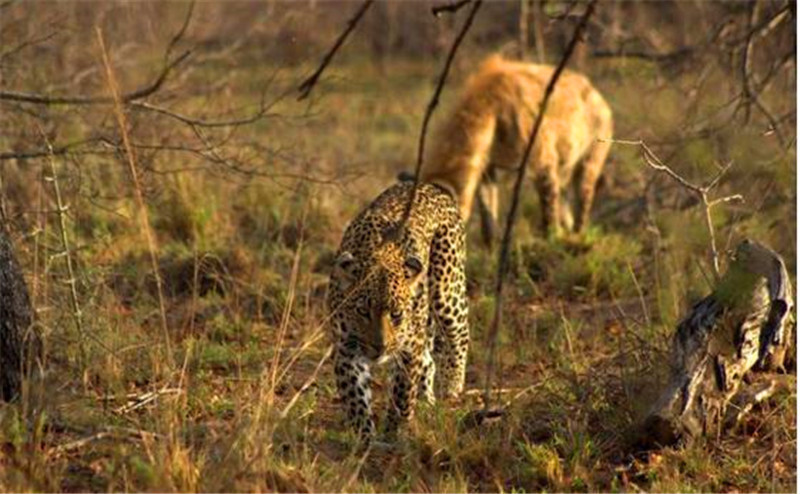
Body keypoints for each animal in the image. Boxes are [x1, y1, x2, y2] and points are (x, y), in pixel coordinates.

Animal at [326, 180, 468, 440]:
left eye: (396, 314)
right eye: (362, 311)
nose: (379, 348)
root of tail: (431, 185)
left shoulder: (409, 347)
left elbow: (402, 393)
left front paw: (395, 433)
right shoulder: (346, 346)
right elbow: (355, 397)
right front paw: (365, 438)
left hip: (447, 290)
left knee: (460, 335)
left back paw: (452, 385)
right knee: (429, 361)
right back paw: (425, 402)